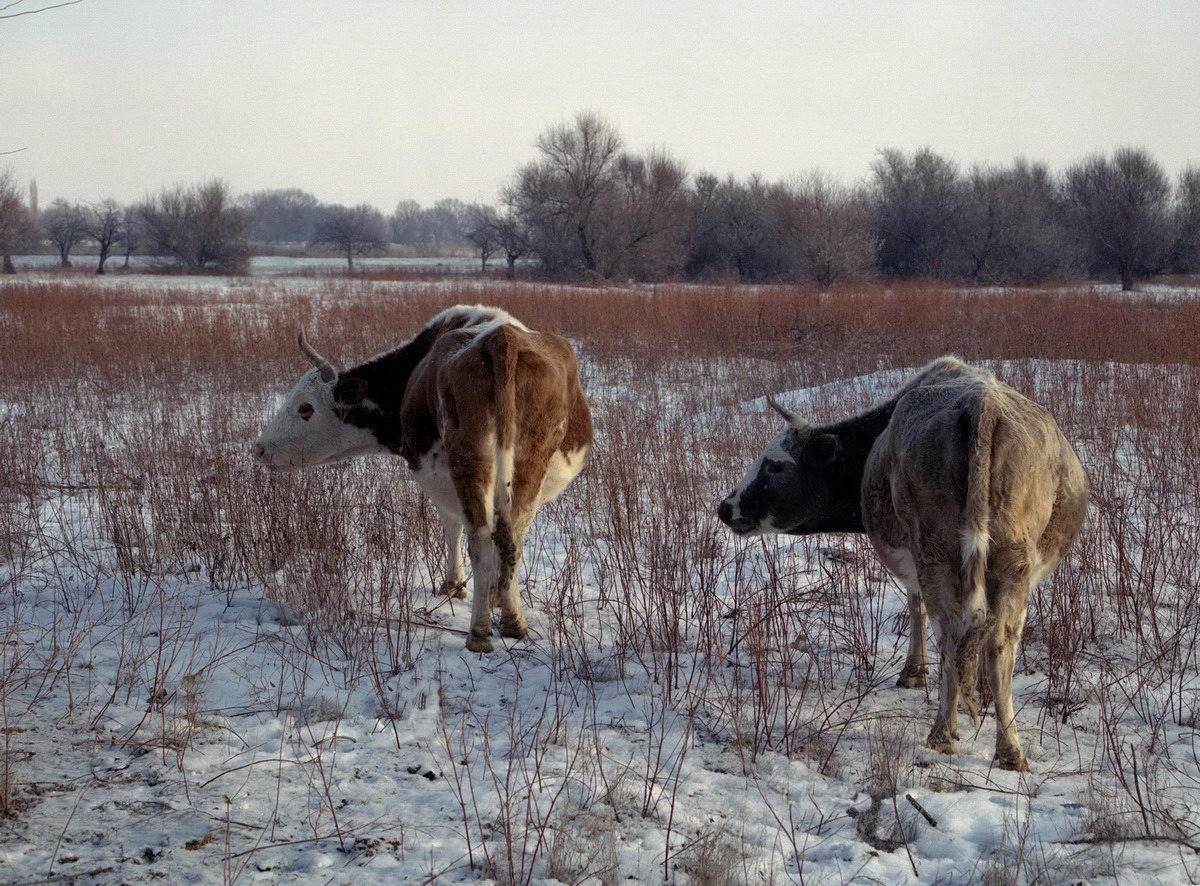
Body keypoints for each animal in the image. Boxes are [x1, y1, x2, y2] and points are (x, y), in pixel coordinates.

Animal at [253, 303, 590, 648]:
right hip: (525, 463)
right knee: (511, 537)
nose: (260, 449)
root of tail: (500, 340)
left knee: (482, 538)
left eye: (305, 408)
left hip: (470, 461)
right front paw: (496, 593)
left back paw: (480, 633)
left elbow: (452, 525)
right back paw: (511, 622)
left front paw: (455, 585)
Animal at [715, 355, 1094, 768]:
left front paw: (914, 673)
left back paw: (943, 733)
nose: (725, 507)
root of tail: (981, 404)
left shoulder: (913, 561)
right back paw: (1009, 749)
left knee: (950, 635)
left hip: (937, 556)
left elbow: (916, 608)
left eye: (775, 465)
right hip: (1013, 561)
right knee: (997, 643)